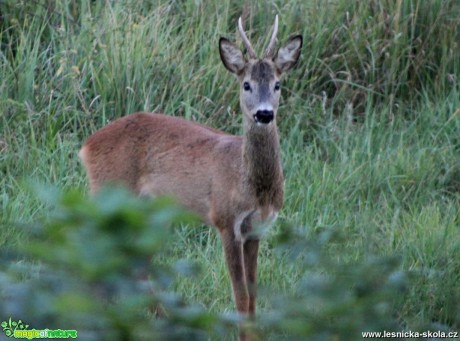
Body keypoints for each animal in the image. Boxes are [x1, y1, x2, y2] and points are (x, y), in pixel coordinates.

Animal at [79, 14, 302, 338]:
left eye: (278, 84)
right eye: (246, 84)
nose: (264, 114)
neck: (251, 185)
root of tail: (86, 146)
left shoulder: (257, 228)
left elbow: (253, 295)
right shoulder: (225, 221)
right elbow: (240, 295)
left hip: (149, 210)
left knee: (135, 264)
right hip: (108, 192)